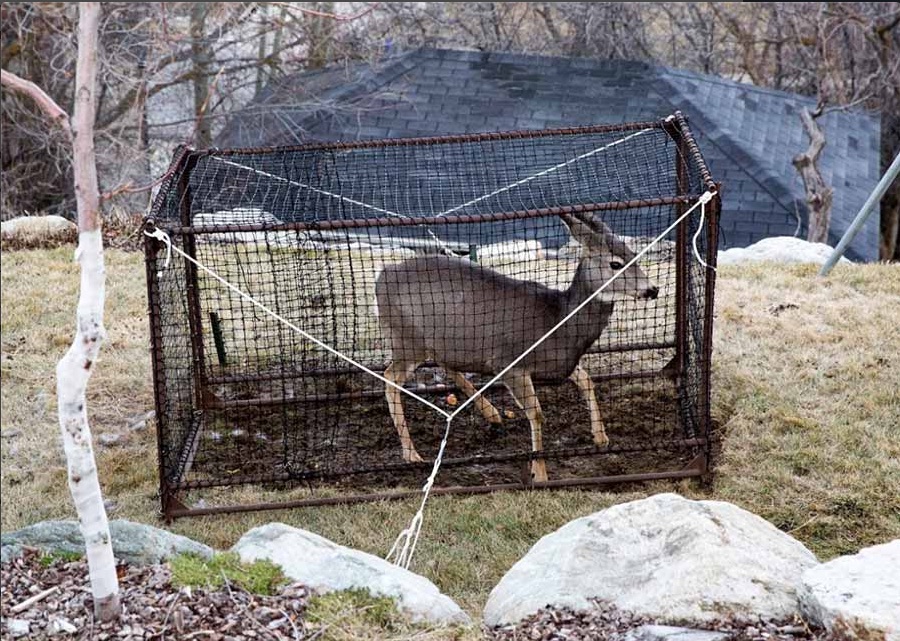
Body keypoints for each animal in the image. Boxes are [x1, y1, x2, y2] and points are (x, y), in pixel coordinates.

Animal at [374, 213, 659, 482]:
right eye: (615, 263)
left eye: (634, 255)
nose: (652, 290)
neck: (558, 322)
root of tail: (381, 278)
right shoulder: (509, 362)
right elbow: (537, 413)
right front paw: (540, 473)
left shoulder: (558, 364)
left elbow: (587, 380)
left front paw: (601, 438)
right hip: (406, 337)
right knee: (390, 377)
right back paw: (412, 454)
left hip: (439, 339)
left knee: (445, 364)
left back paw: (492, 415)